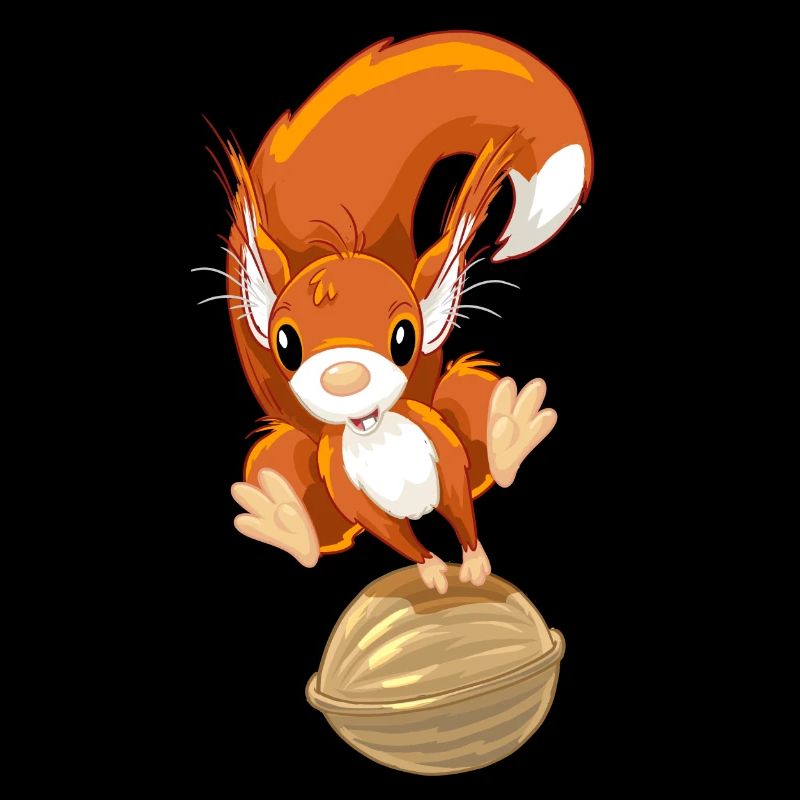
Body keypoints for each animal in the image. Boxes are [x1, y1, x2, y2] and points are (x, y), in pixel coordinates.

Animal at [204, 32, 593, 594]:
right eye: (286, 345)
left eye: (403, 337)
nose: (345, 379)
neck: (377, 435)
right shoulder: (354, 497)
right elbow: (395, 535)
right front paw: (431, 569)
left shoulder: (446, 458)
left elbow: (461, 505)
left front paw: (474, 562)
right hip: (295, 465)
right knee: (290, 481)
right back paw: (285, 519)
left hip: (454, 407)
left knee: (472, 417)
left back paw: (507, 430)